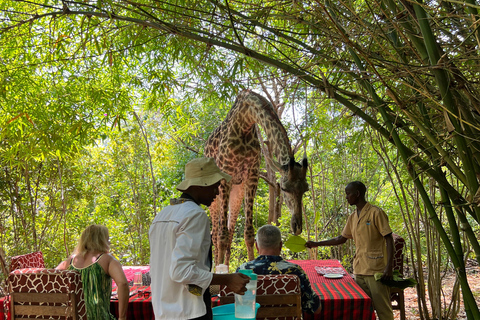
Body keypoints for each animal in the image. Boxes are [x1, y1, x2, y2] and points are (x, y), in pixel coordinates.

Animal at [204, 90, 310, 264]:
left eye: (305, 190)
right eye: (284, 189)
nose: (297, 227)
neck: (245, 121)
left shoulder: (252, 176)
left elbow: (248, 233)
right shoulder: (225, 176)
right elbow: (221, 236)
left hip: (236, 192)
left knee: (230, 232)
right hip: (215, 197)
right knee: (216, 235)